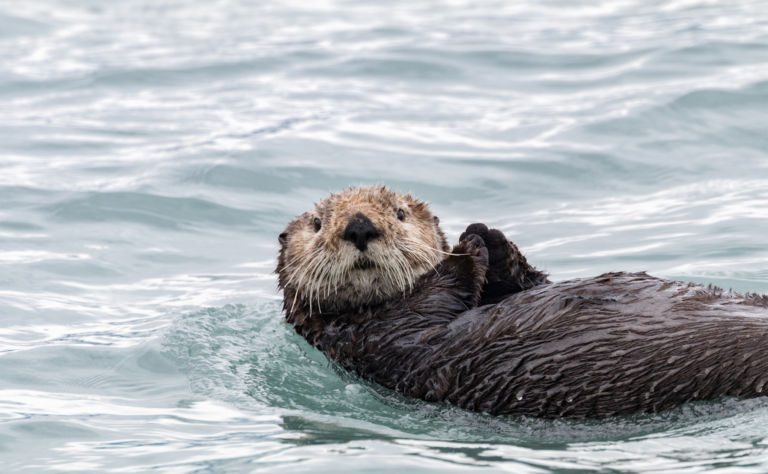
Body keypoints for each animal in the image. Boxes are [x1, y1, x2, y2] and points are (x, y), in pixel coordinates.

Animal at [276, 186, 768, 418]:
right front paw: (470, 246)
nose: (359, 226)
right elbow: (437, 301)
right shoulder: (381, 342)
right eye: (317, 224)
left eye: (399, 213)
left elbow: (526, 283)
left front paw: (487, 236)